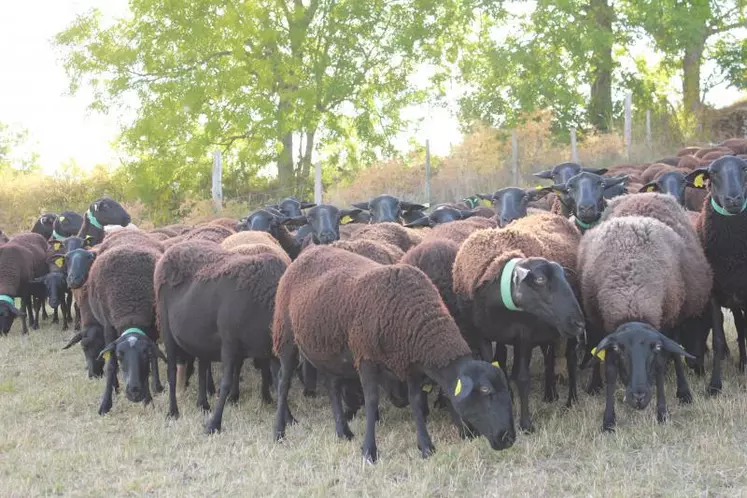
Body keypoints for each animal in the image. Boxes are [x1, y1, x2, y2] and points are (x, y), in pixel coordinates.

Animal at [89, 246, 165, 416]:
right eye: (119, 355)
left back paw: (156, 385)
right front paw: (105, 404)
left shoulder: (151, 328)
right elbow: (111, 366)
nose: (134, 392)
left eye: (145, 354)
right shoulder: (109, 327)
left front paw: (148, 400)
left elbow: (152, 361)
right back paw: (115, 387)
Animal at [452, 212, 588, 430]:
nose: (579, 323)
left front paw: (526, 424)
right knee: (549, 357)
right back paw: (550, 394)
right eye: (540, 280)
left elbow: (523, 378)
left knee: (571, 358)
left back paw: (571, 400)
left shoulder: (525, 335)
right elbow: (492, 370)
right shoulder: (482, 334)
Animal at [580, 216, 700, 430]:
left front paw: (662, 413)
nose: (639, 397)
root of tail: (632, 218)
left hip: (673, 316)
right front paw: (608, 420)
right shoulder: (606, 329)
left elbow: (660, 367)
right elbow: (610, 371)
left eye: (655, 348)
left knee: (677, 353)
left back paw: (684, 392)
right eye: (619, 349)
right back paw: (594, 385)